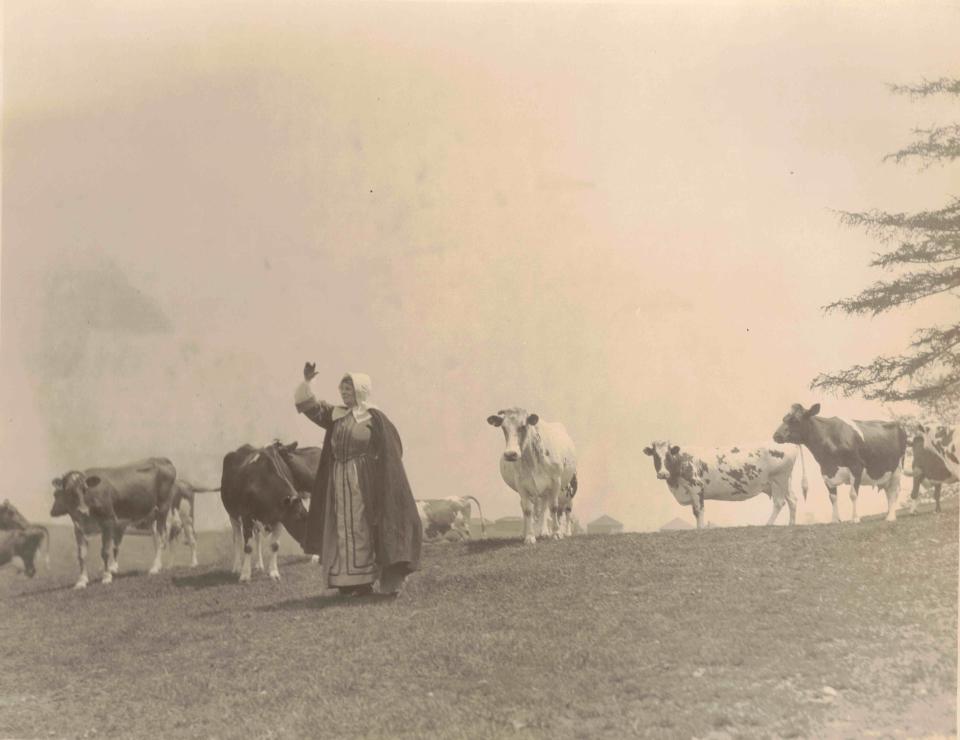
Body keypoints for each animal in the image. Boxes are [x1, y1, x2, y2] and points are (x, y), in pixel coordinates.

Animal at [51, 456, 178, 588]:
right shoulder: (78, 528)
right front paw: (81, 581)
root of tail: (162, 459)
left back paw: (155, 568)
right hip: (153, 516)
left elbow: (105, 551)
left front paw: (107, 577)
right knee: (159, 540)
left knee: (161, 539)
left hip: (163, 509)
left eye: (84, 489)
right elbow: (81, 555)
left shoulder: (107, 522)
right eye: (67, 491)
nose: (82, 510)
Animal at [219, 442, 310, 580]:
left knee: (257, 539)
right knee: (238, 539)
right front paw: (245, 575)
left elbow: (274, 545)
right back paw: (237, 567)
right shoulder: (246, 516)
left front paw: (273, 573)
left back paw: (259, 565)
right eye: (298, 517)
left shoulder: (279, 518)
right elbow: (247, 546)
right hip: (232, 515)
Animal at [488, 404, 576, 544]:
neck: (532, 459)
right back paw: (527, 533)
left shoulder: (555, 482)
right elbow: (528, 510)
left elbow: (554, 507)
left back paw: (546, 532)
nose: (510, 454)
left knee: (548, 508)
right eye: (503, 427)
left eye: (523, 426)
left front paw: (556, 534)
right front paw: (529, 536)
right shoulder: (521, 485)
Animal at [640, 440, 808, 528]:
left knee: (779, 502)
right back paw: (791, 524)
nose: (662, 474)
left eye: (668, 455)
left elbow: (698, 511)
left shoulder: (696, 487)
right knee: (792, 500)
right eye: (655, 456)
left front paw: (700, 530)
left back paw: (768, 525)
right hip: (784, 482)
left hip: (778, 480)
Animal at [772, 408, 908, 524]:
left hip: (897, 469)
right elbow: (832, 497)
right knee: (888, 491)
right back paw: (889, 514)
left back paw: (891, 517)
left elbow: (853, 494)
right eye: (784, 419)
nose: (776, 435)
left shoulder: (856, 466)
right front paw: (835, 520)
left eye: (795, 420)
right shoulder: (826, 471)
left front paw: (855, 519)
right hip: (885, 473)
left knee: (894, 491)